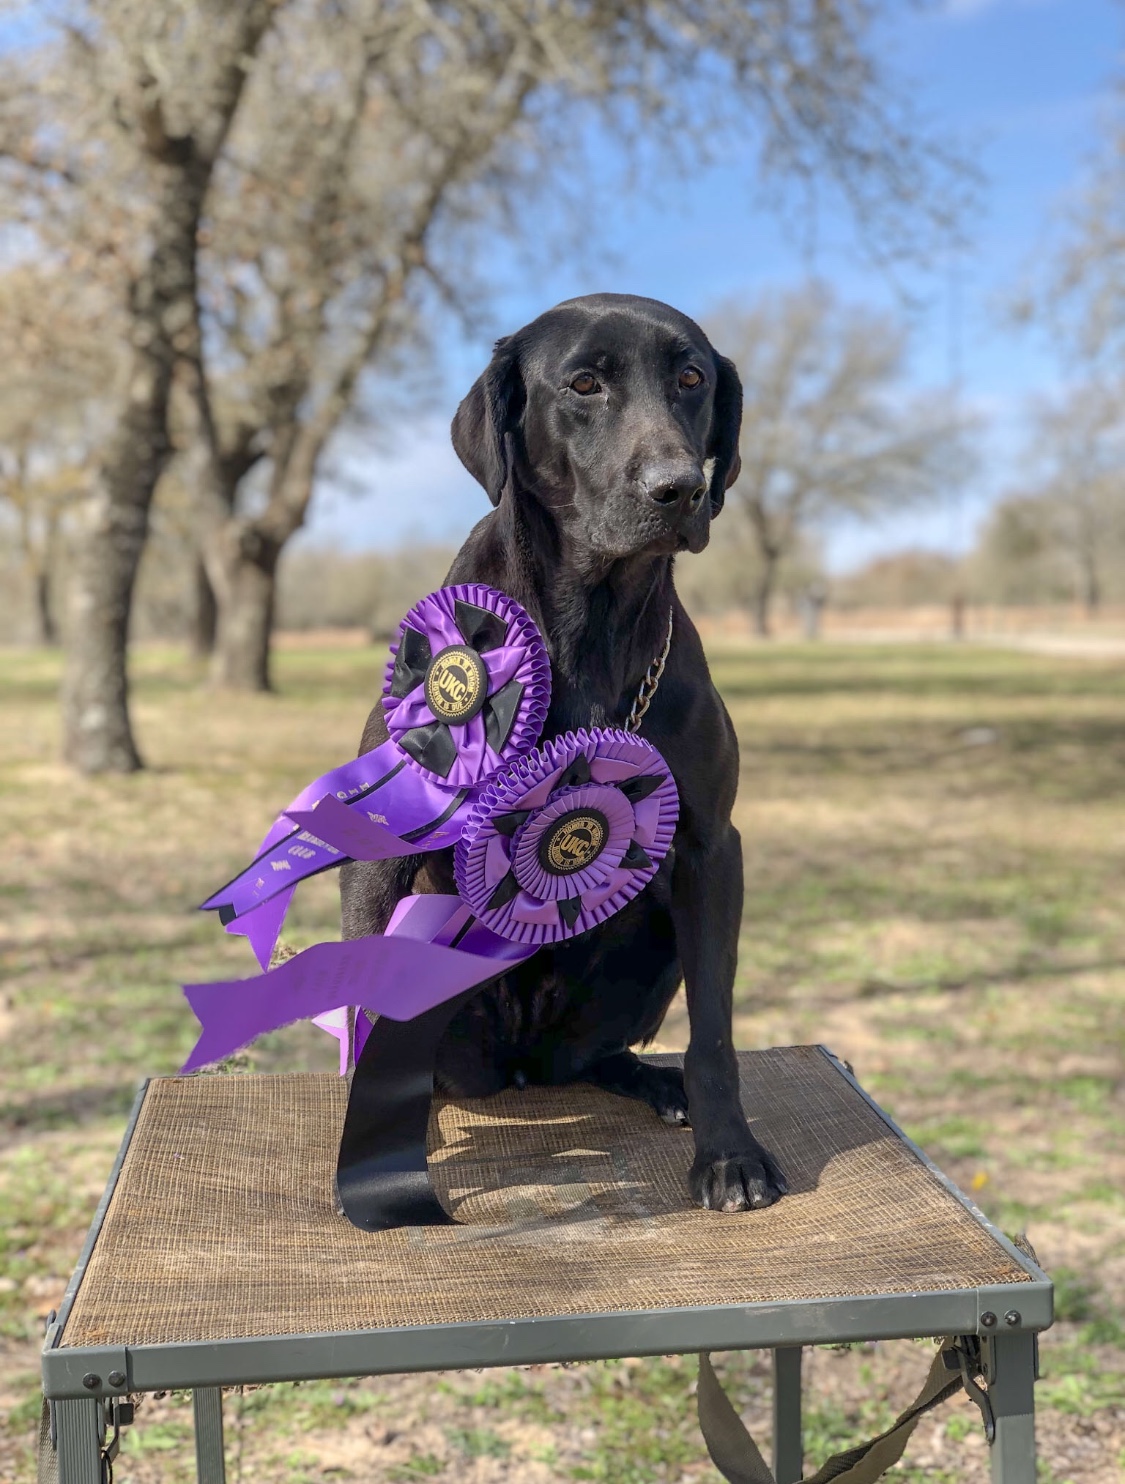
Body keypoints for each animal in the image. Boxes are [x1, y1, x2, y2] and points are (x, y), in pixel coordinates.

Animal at [339, 292, 789, 1216]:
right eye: (583, 384)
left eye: (691, 378)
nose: (679, 488)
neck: (590, 622)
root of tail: (516, 1067)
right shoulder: (380, 849)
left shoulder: (708, 848)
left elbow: (716, 1032)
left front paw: (729, 1153)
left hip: (651, 940)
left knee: (596, 1059)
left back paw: (657, 1087)